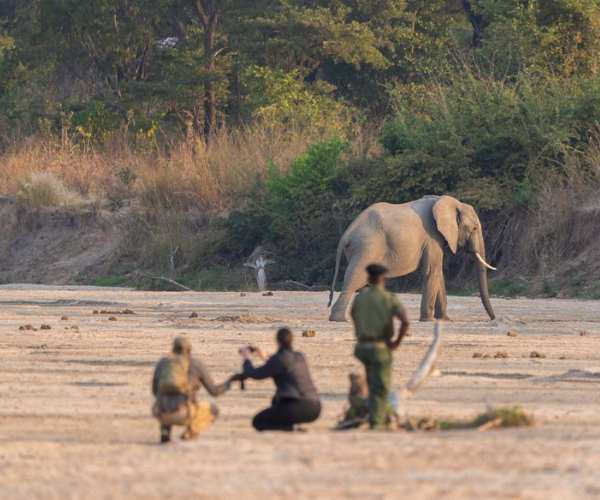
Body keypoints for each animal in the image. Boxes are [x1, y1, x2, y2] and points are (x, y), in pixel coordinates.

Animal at [328, 193, 496, 322]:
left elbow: (438, 273)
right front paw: (429, 320)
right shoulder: (432, 237)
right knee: (355, 279)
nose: (493, 319)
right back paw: (339, 319)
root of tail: (347, 233)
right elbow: (431, 271)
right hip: (367, 247)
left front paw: (446, 320)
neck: (450, 202)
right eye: (474, 228)